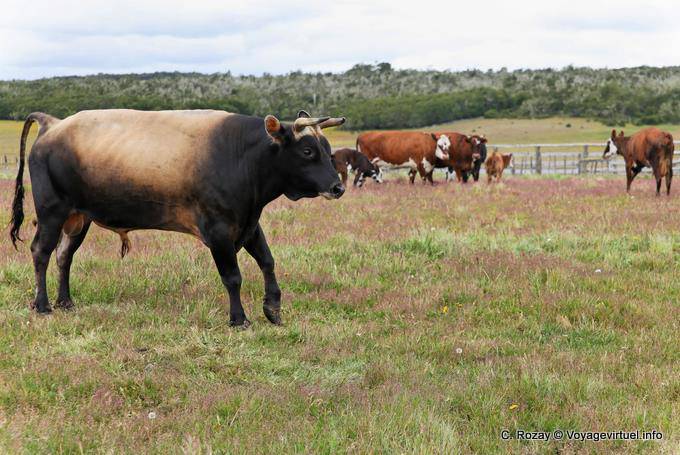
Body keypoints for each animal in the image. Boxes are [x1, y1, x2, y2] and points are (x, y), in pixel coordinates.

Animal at [9, 109, 346, 327]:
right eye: (307, 151)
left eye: (327, 149)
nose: (337, 187)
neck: (240, 156)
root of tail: (53, 124)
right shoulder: (219, 232)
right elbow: (233, 277)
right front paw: (239, 319)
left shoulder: (248, 224)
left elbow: (267, 261)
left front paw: (273, 308)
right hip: (52, 212)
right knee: (41, 252)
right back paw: (43, 305)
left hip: (79, 219)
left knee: (64, 256)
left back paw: (66, 301)